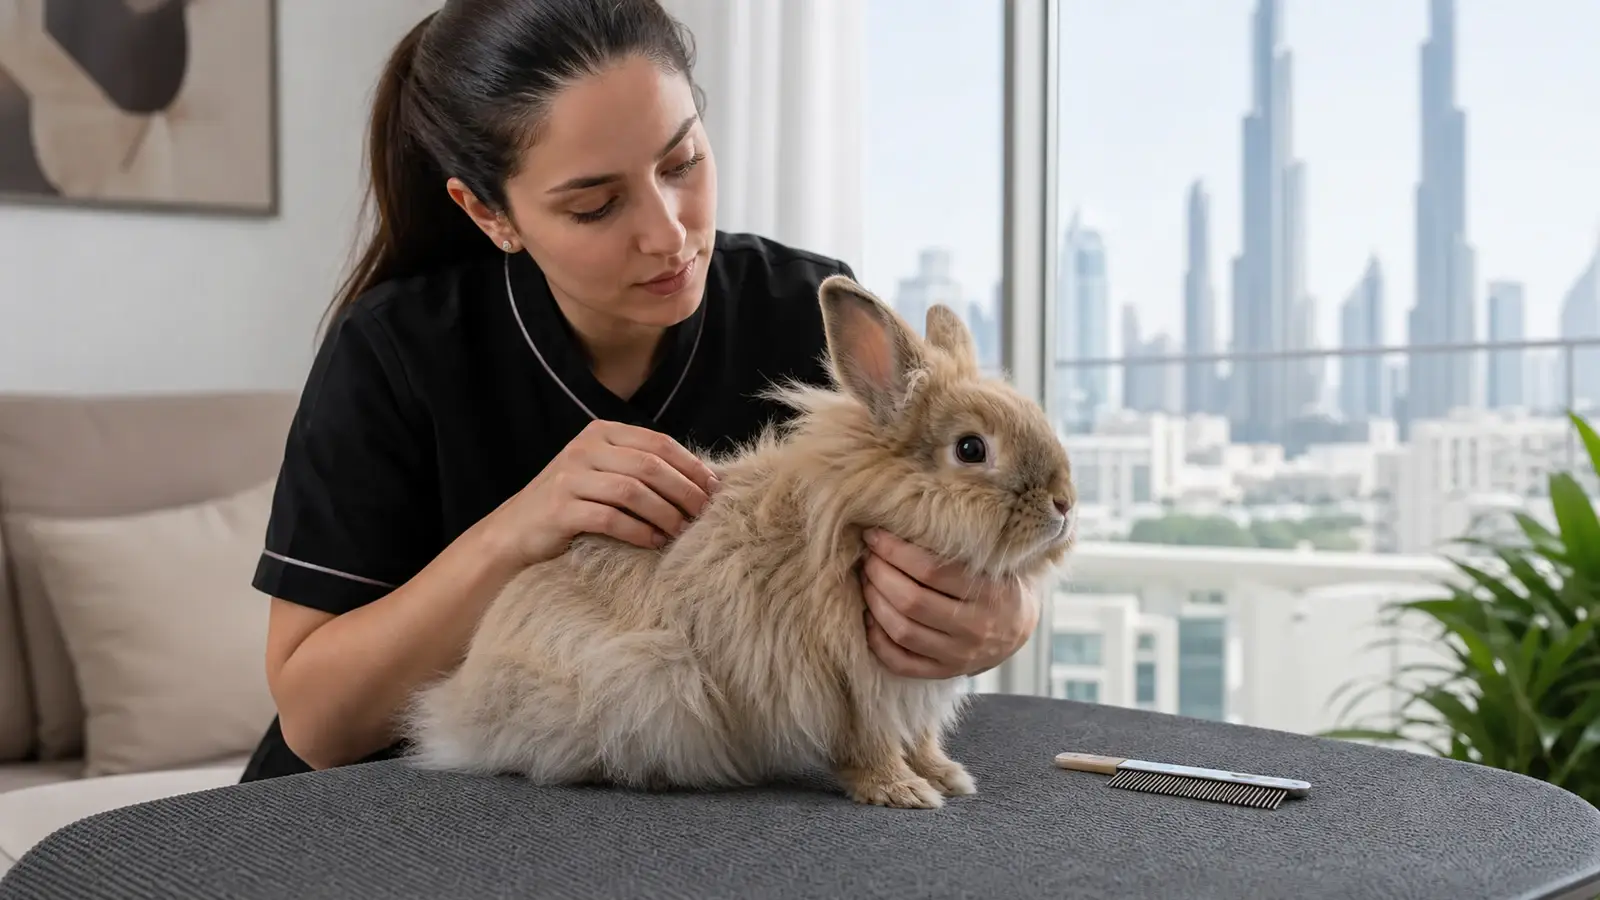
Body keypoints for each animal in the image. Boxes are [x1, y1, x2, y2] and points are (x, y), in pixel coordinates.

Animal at [401, 274, 1077, 809]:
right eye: (971, 449)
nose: (1065, 504)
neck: (868, 515)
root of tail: (458, 711)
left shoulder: (914, 687)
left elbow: (924, 737)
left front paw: (948, 776)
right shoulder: (850, 684)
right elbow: (870, 745)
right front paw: (903, 792)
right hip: (647, 677)